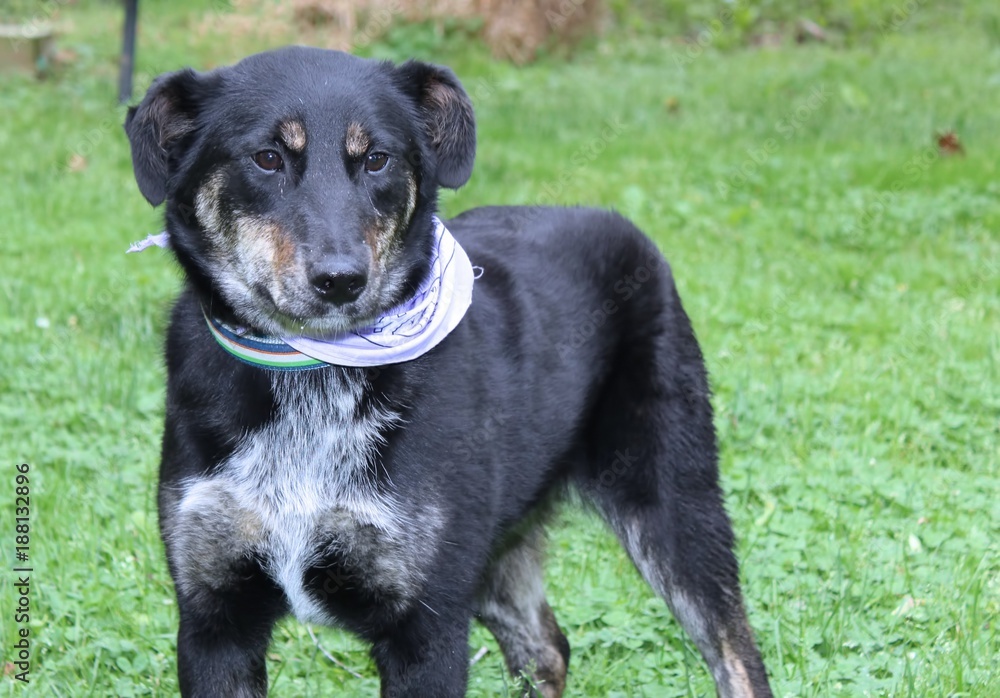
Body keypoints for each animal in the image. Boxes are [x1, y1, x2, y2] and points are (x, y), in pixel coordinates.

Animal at [121, 46, 768, 692]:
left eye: (377, 158)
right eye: (267, 158)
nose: (341, 280)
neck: (310, 369)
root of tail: (624, 228)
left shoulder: (427, 628)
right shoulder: (214, 618)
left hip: (673, 503)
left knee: (737, 652)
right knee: (547, 646)